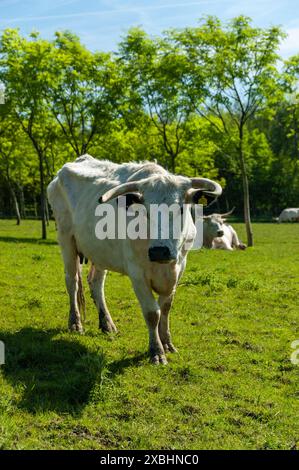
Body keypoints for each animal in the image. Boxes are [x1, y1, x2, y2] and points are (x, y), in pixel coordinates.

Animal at [47, 156, 223, 366]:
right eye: (145, 210)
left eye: (181, 208)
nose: (159, 251)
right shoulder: (137, 273)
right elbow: (152, 313)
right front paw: (156, 351)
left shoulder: (180, 267)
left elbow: (165, 308)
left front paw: (167, 343)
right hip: (66, 239)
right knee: (72, 281)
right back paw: (75, 323)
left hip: (99, 252)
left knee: (96, 283)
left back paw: (107, 324)